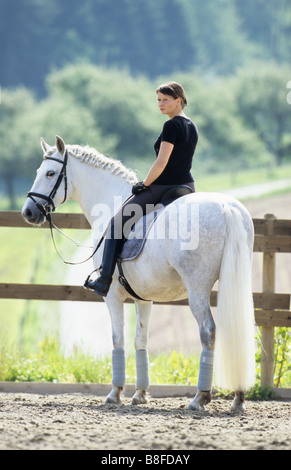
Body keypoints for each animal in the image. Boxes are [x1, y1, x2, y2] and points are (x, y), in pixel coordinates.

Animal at [21, 136, 256, 412]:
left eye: (50, 173)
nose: (28, 212)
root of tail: (225, 207)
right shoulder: (144, 299)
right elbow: (140, 340)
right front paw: (140, 394)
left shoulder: (112, 296)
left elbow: (117, 339)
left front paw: (115, 393)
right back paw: (238, 398)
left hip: (197, 289)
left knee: (208, 331)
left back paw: (199, 398)